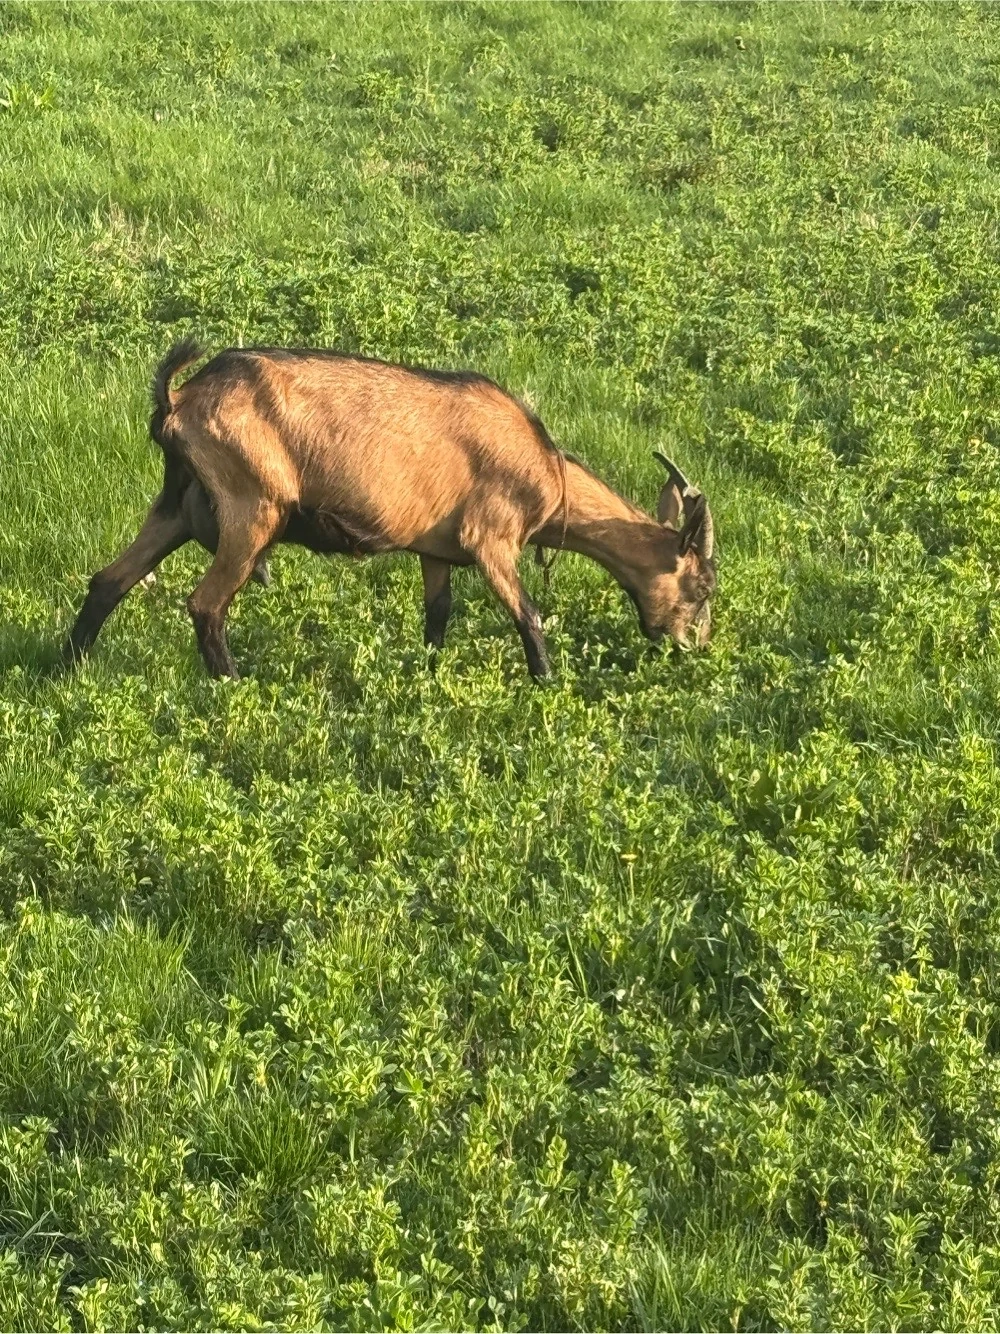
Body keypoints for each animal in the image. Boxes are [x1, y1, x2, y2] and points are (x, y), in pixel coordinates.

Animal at [64, 341, 716, 680]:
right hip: (254, 505)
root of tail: (181, 398)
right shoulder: (491, 538)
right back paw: (233, 681)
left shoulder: (437, 549)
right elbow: (529, 615)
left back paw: (68, 668)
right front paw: (546, 682)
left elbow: (438, 616)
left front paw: (429, 674)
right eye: (703, 587)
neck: (547, 471)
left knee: (110, 579)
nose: (695, 647)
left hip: (178, 506)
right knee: (205, 603)